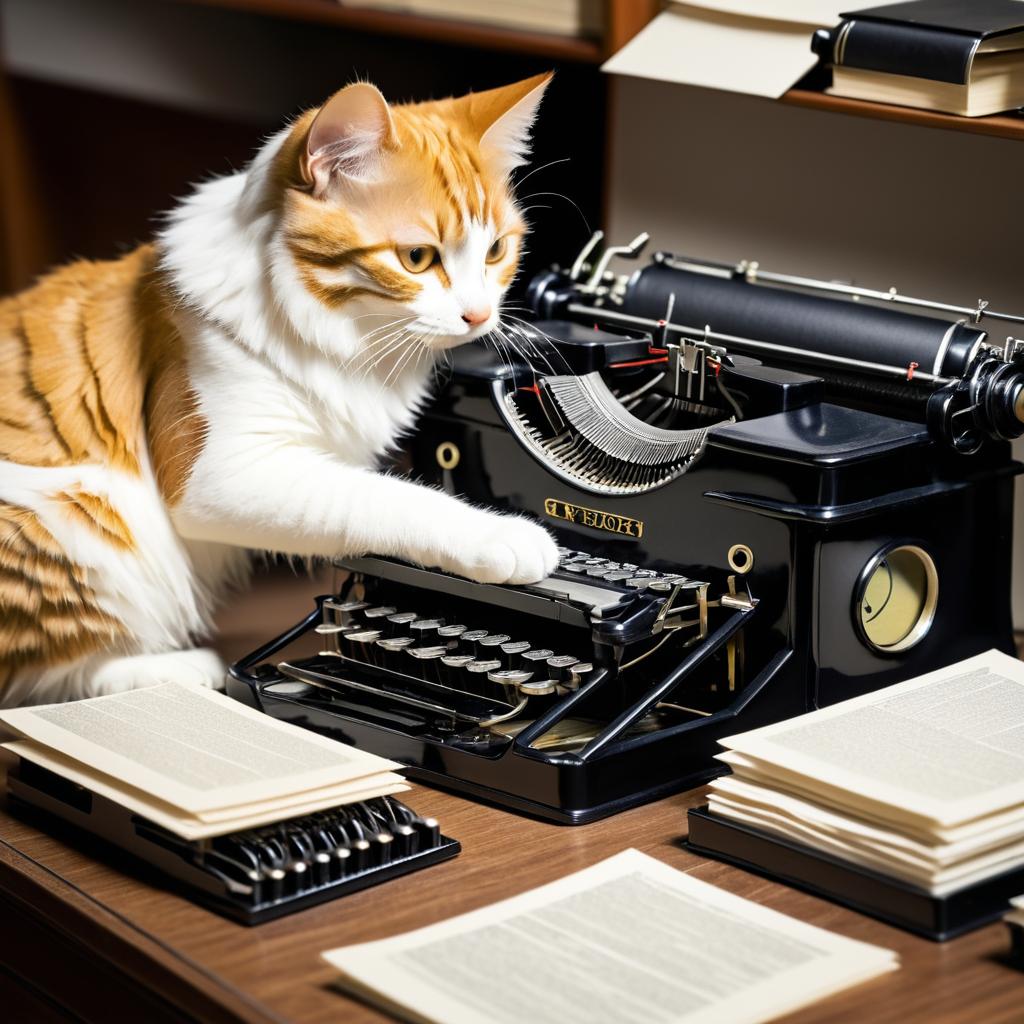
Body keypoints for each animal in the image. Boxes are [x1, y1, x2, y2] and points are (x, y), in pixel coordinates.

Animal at [0, 75, 557, 708]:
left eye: (496, 252)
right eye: (417, 258)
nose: (480, 316)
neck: (354, 343)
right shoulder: (224, 474)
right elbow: (389, 497)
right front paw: (502, 533)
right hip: (79, 522)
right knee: (49, 672)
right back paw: (178, 667)